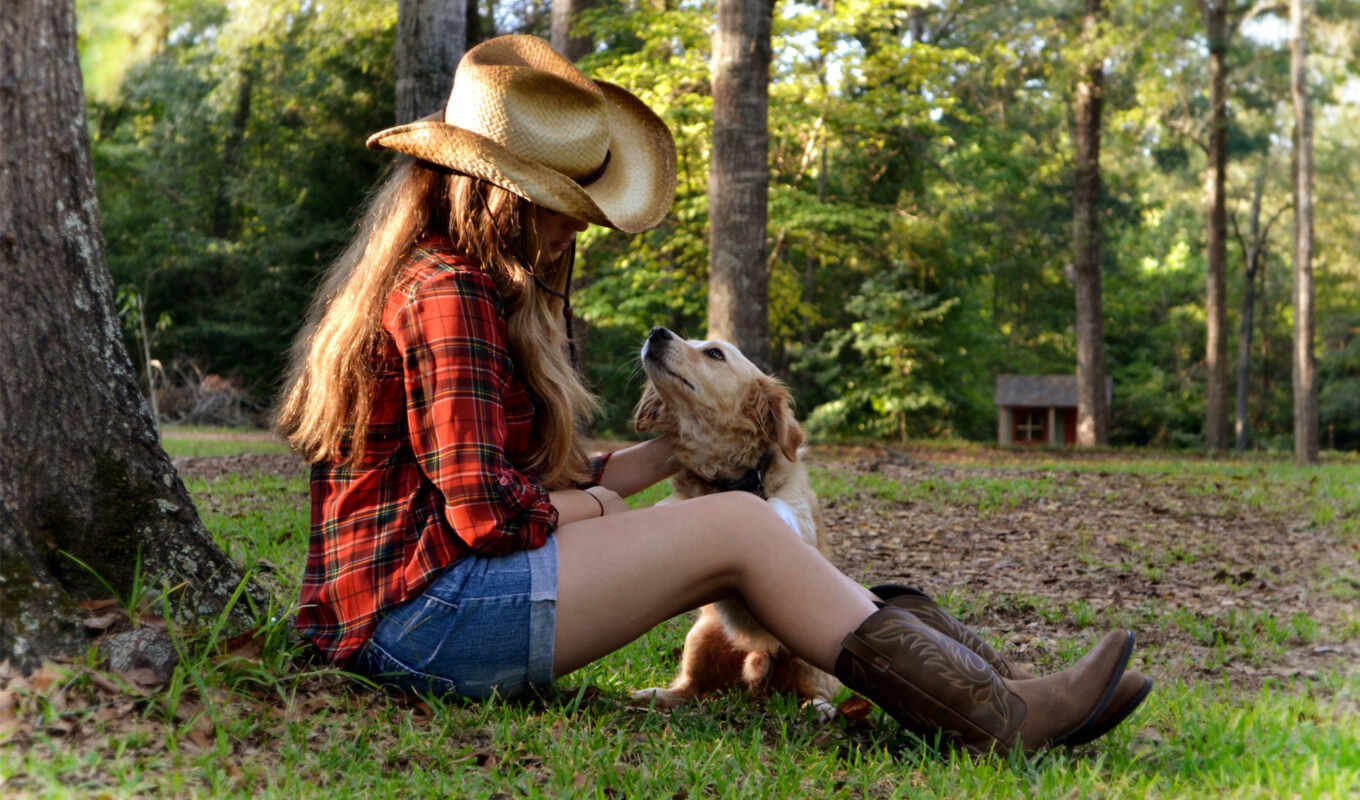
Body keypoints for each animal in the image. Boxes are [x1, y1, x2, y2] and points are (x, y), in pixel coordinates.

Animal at [628, 325, 837, 718]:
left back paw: (818, 706)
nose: (656, 331)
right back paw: (653, 695)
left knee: (812, 688)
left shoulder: (797, 518)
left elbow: (775, 509)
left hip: (809, 654)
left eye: (714, 353)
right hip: (701, 637)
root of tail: (758, 655)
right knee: (691, 688)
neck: (731, 476)